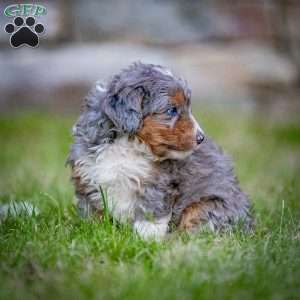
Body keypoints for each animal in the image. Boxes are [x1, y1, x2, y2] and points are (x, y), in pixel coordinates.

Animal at [67, 62, 252, 240]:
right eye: (172, 110)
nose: (201, 138)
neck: (127, 144)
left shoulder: (157, 182)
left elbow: (150, 213)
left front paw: (146, 239)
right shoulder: (87, 175)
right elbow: (92, 211)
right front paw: (92, 230)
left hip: (208, 205)